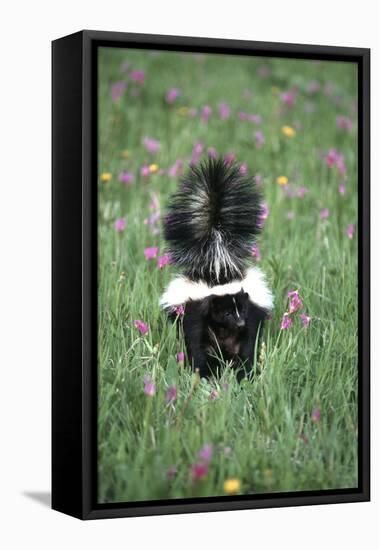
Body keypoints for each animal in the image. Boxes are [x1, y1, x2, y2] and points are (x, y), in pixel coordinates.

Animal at [160, 157, 274, 382]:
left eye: (242, 309)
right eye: (226, 313)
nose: (239, 323)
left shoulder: (251, 316)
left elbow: (247, 345)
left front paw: (244, 373)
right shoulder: (194, 315)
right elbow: (197, 346)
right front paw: (204, 373)